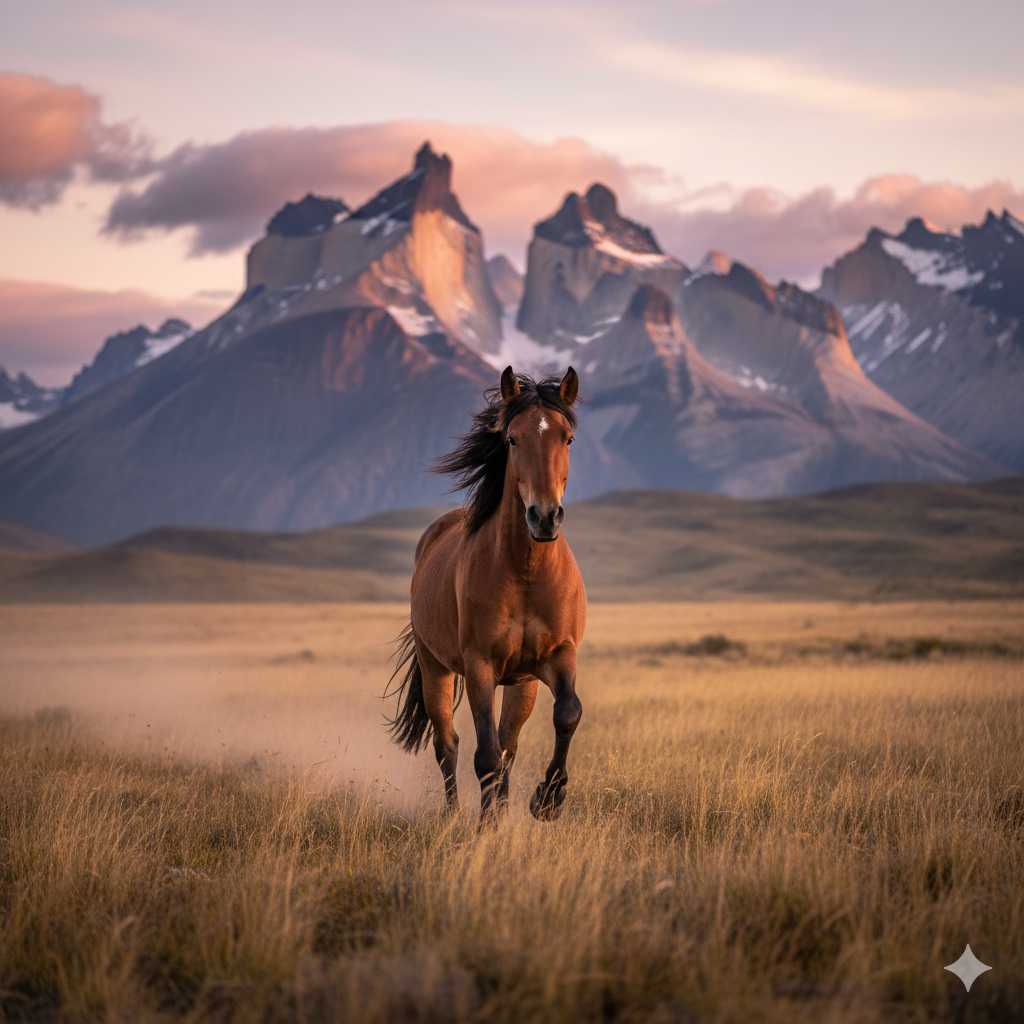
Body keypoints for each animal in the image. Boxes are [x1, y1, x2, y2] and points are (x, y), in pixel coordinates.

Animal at [386, 366, 586, 820]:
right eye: (512, 438)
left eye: (567, 437)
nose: (544, 516)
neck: (526, 571)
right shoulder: (480, 667)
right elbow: (485, 757)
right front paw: (488, 824)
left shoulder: (559, 655)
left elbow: (567, 714)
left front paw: (548, 797)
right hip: (436, 668)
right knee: (448, 745)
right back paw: (454, 817)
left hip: (521, 683)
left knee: (508, 744)